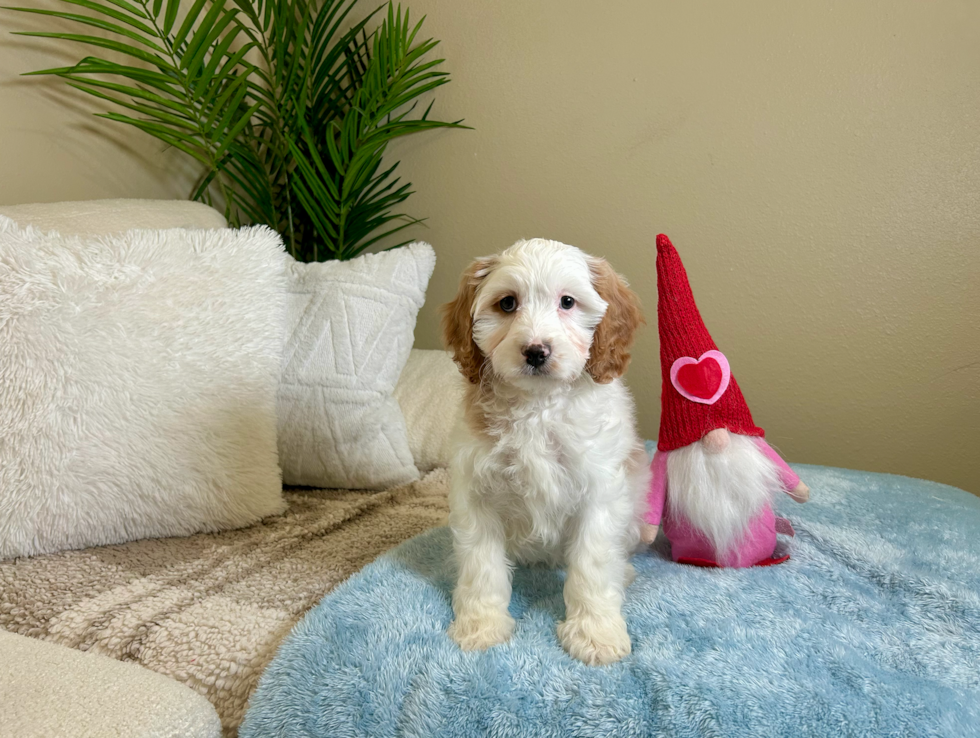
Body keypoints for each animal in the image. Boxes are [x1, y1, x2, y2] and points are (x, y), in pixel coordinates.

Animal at [440, 239, 648, 664]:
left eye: (567, 302)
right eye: (507, 303)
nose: (536, 351)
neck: (537, 406)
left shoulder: (598, 492)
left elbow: (592, 565)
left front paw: (595, 633)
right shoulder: (476, 494)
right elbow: (481, 566)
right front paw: (481, 625)